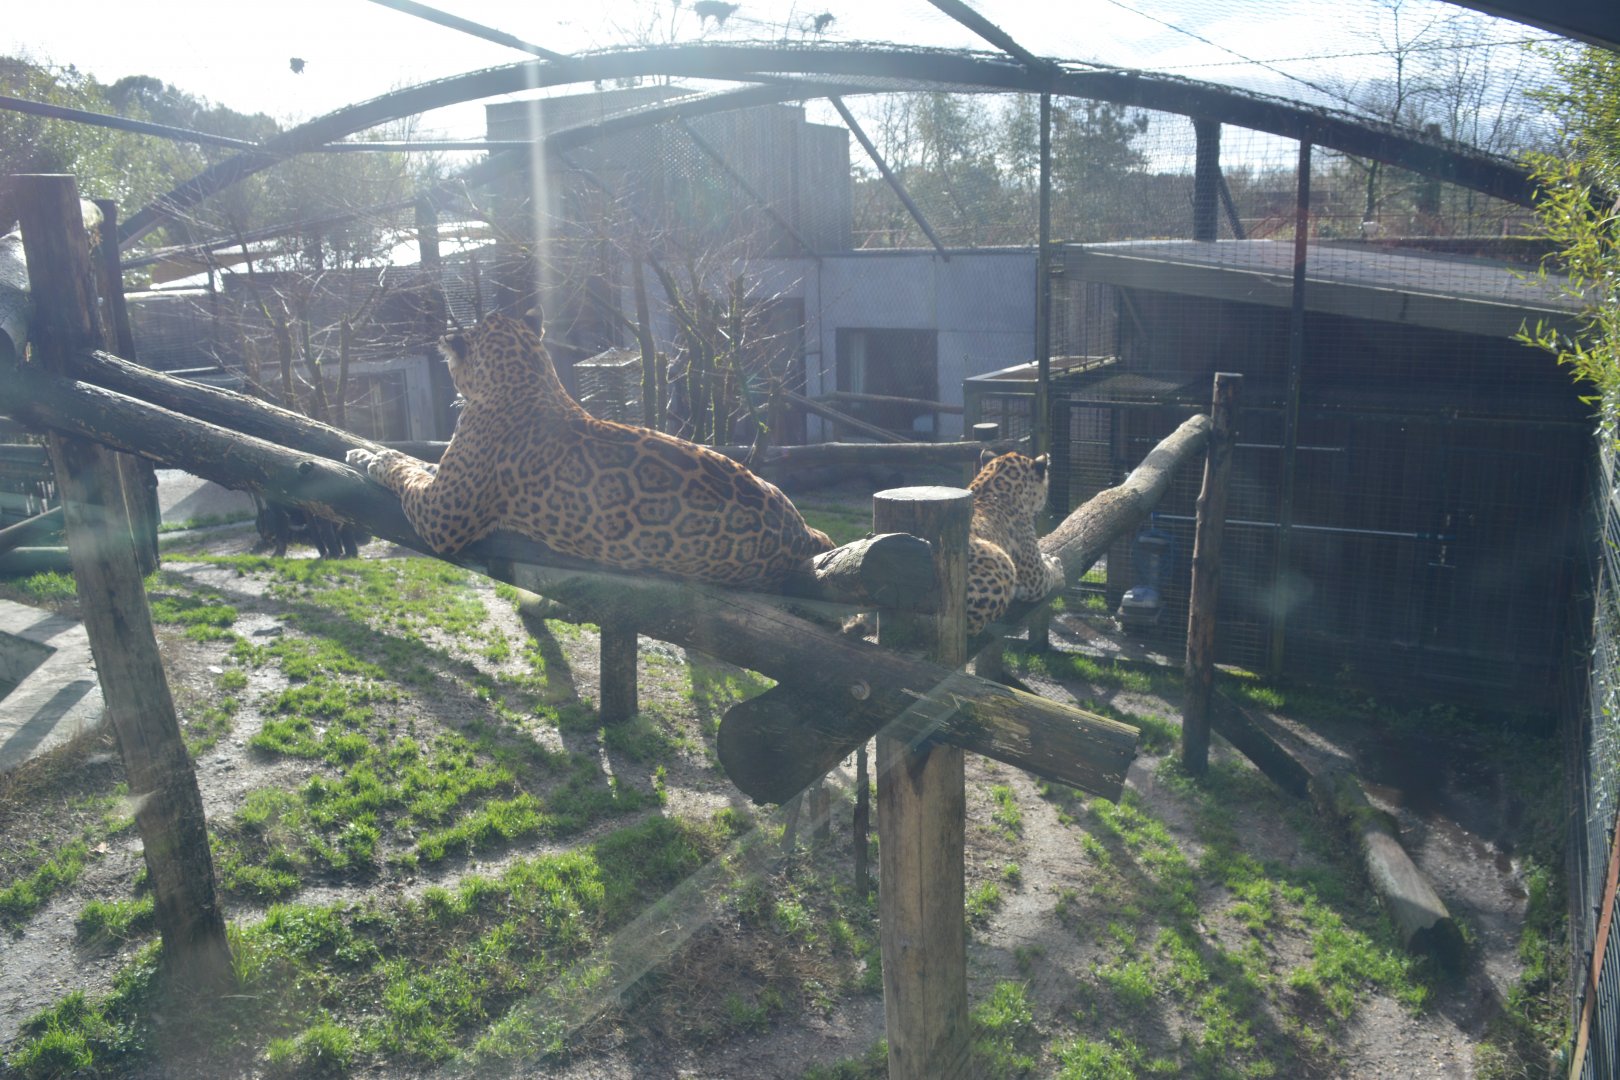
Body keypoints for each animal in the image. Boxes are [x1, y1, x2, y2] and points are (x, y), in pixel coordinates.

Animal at [345, 312, 834, 588]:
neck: (526, 376)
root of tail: (802, 532)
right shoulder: (446, 484)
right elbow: (424, 464)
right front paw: (377, 454)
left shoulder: (443, 515)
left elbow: (407, 471)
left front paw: (374, 457)